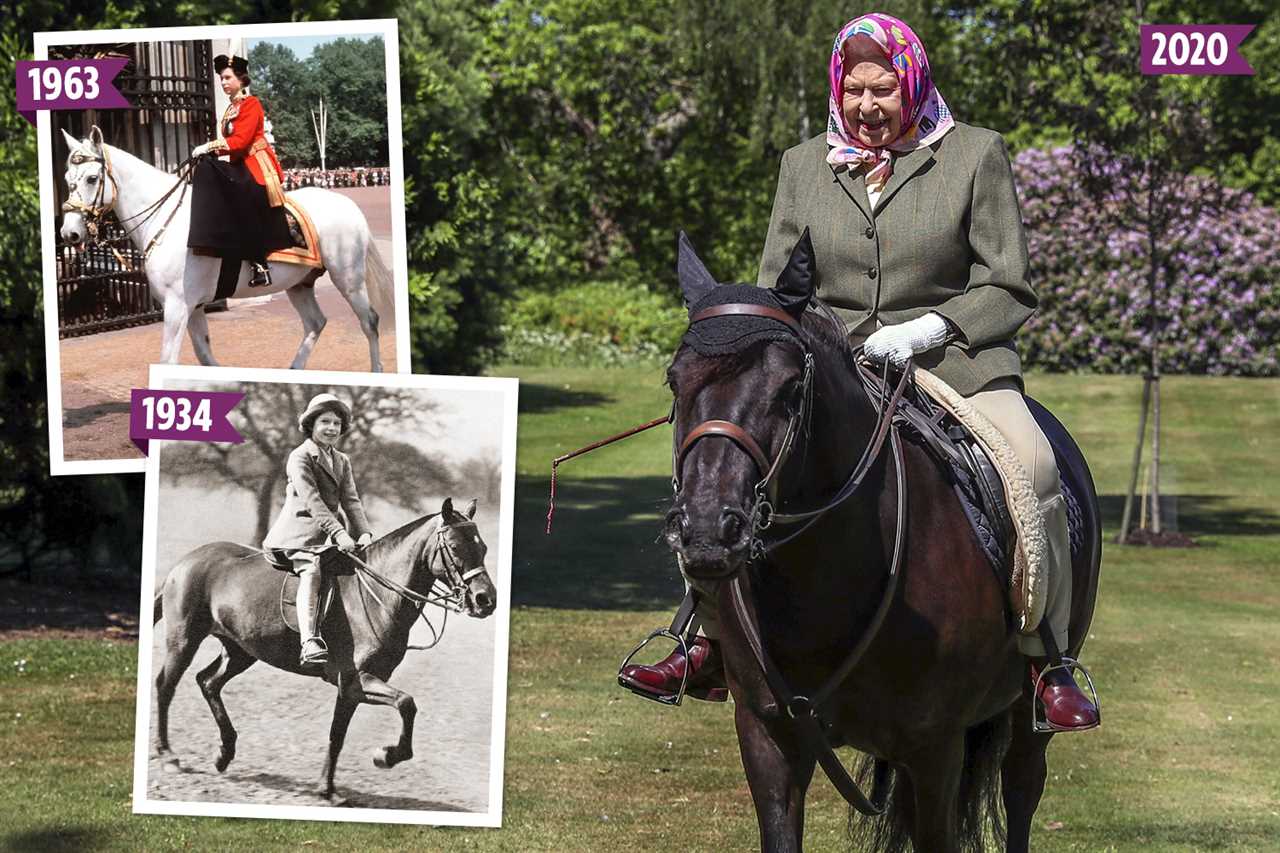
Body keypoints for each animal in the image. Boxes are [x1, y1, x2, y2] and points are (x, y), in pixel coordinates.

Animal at [58, 126, 389, 368]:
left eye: (92, 178)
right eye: (67, 178)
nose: (69, 233)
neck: (166, 220)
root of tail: (347, 203)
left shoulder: (177, 305)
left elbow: (169, 361)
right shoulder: (193, 306)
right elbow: (204, 356)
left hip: (348, 279)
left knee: (370, 321)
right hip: (299, 283)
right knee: (315, 323)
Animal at [147, 494, 491, 799]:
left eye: (483, 547)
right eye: (455, 547)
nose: (486, 600)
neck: (377, 594)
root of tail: (186, 562)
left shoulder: (353, 688)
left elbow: (338, 735)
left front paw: (327, 788)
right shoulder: (355, 680)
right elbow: (406, 703)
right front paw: (385, 756)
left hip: (240, 650)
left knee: (208, 682)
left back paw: (224, 753)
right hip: (184, 640)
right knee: (166, 685)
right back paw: (168, 756)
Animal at [670, 229, 1100, 845]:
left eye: (790, 386)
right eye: (674, 381)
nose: (707, 528)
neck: (822, 581)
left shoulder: (935, 748)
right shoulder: (767, 737)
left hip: (1027, 714)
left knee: (1022, 792)